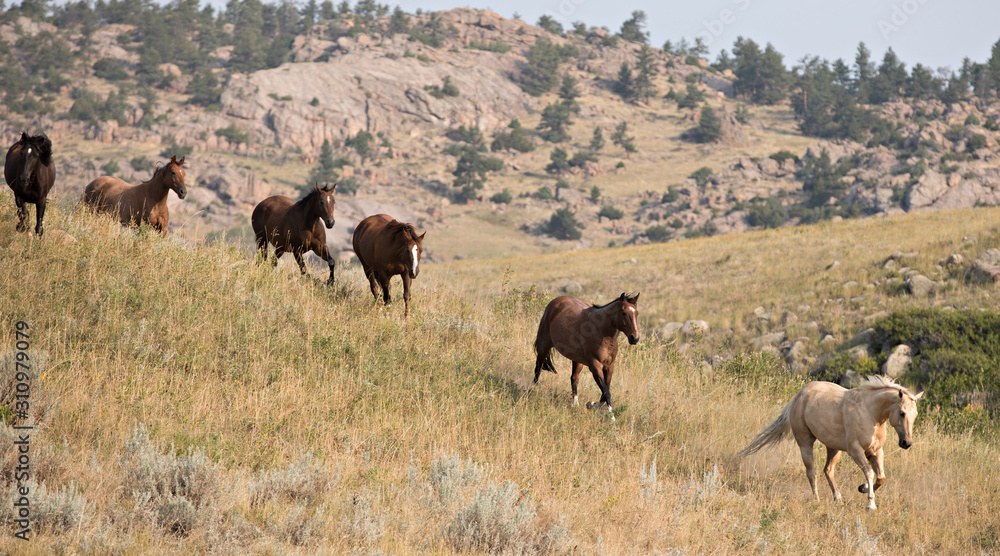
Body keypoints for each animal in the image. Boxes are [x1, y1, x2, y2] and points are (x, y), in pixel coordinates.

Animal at [532, 293, 641, 421]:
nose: (635, 338)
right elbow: (606, 392)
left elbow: (605, 392)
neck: (601, 332)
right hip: (544, 346)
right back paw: (532, 391)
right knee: (537, 369)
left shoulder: (609, 366)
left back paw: (575, 404)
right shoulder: (595, 366)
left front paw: (591, 405)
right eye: (624, 313)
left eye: (637, 313)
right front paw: (612, 419)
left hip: (577, 360)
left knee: (574, 378)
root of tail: (556, 301)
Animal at [738, 375, 922, 510]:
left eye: (915, 414)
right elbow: (870, 473)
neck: (870, 413)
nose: (906, 443)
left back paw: (838, 499)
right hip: (805, 444)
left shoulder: (875, 451)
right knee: (811, 473)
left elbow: (881, 477)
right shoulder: (855, 450)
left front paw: (862, 488)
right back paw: (817, 499)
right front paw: (870, 504)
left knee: (828, 470)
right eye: (902, 412)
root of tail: (799, 396)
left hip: (833, 448)